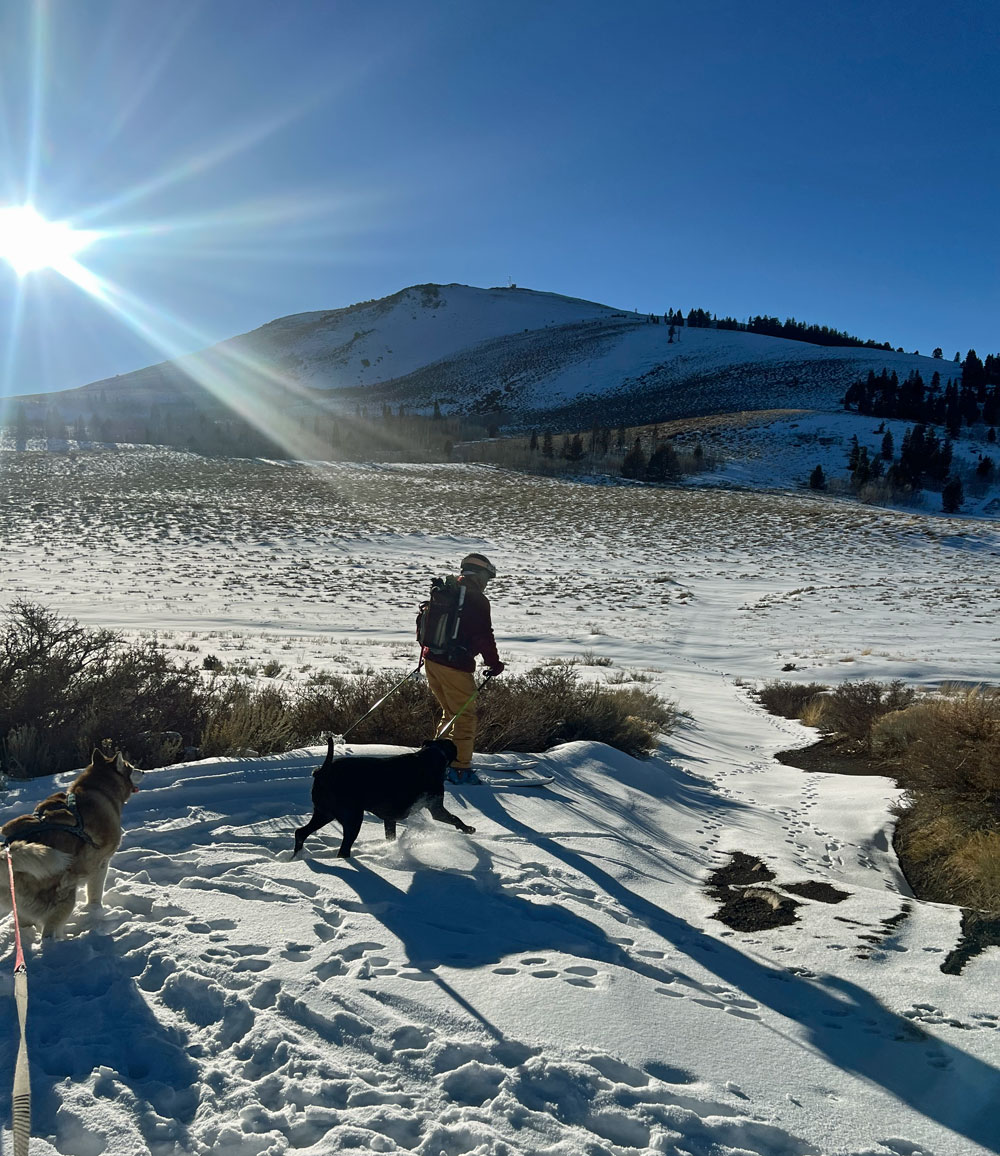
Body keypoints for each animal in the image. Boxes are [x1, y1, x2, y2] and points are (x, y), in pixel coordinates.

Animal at [0, 749, 144, 938]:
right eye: (131, 767)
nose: (144, 772)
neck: (98, 788)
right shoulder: (100, 863)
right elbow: (95, 893)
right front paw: (95, 911)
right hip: (65, 896)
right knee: (49, 934)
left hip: (23, 909)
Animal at [290, 739, 473, 860]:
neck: (432, 755)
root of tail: (323, 771)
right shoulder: (436, 808)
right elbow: (455, 818)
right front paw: (468, 829)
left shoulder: (389, 819)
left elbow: (390, 836)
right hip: (352, 819)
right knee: (343, 850)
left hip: (323, 814)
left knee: (300, 833)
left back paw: (296, 857)